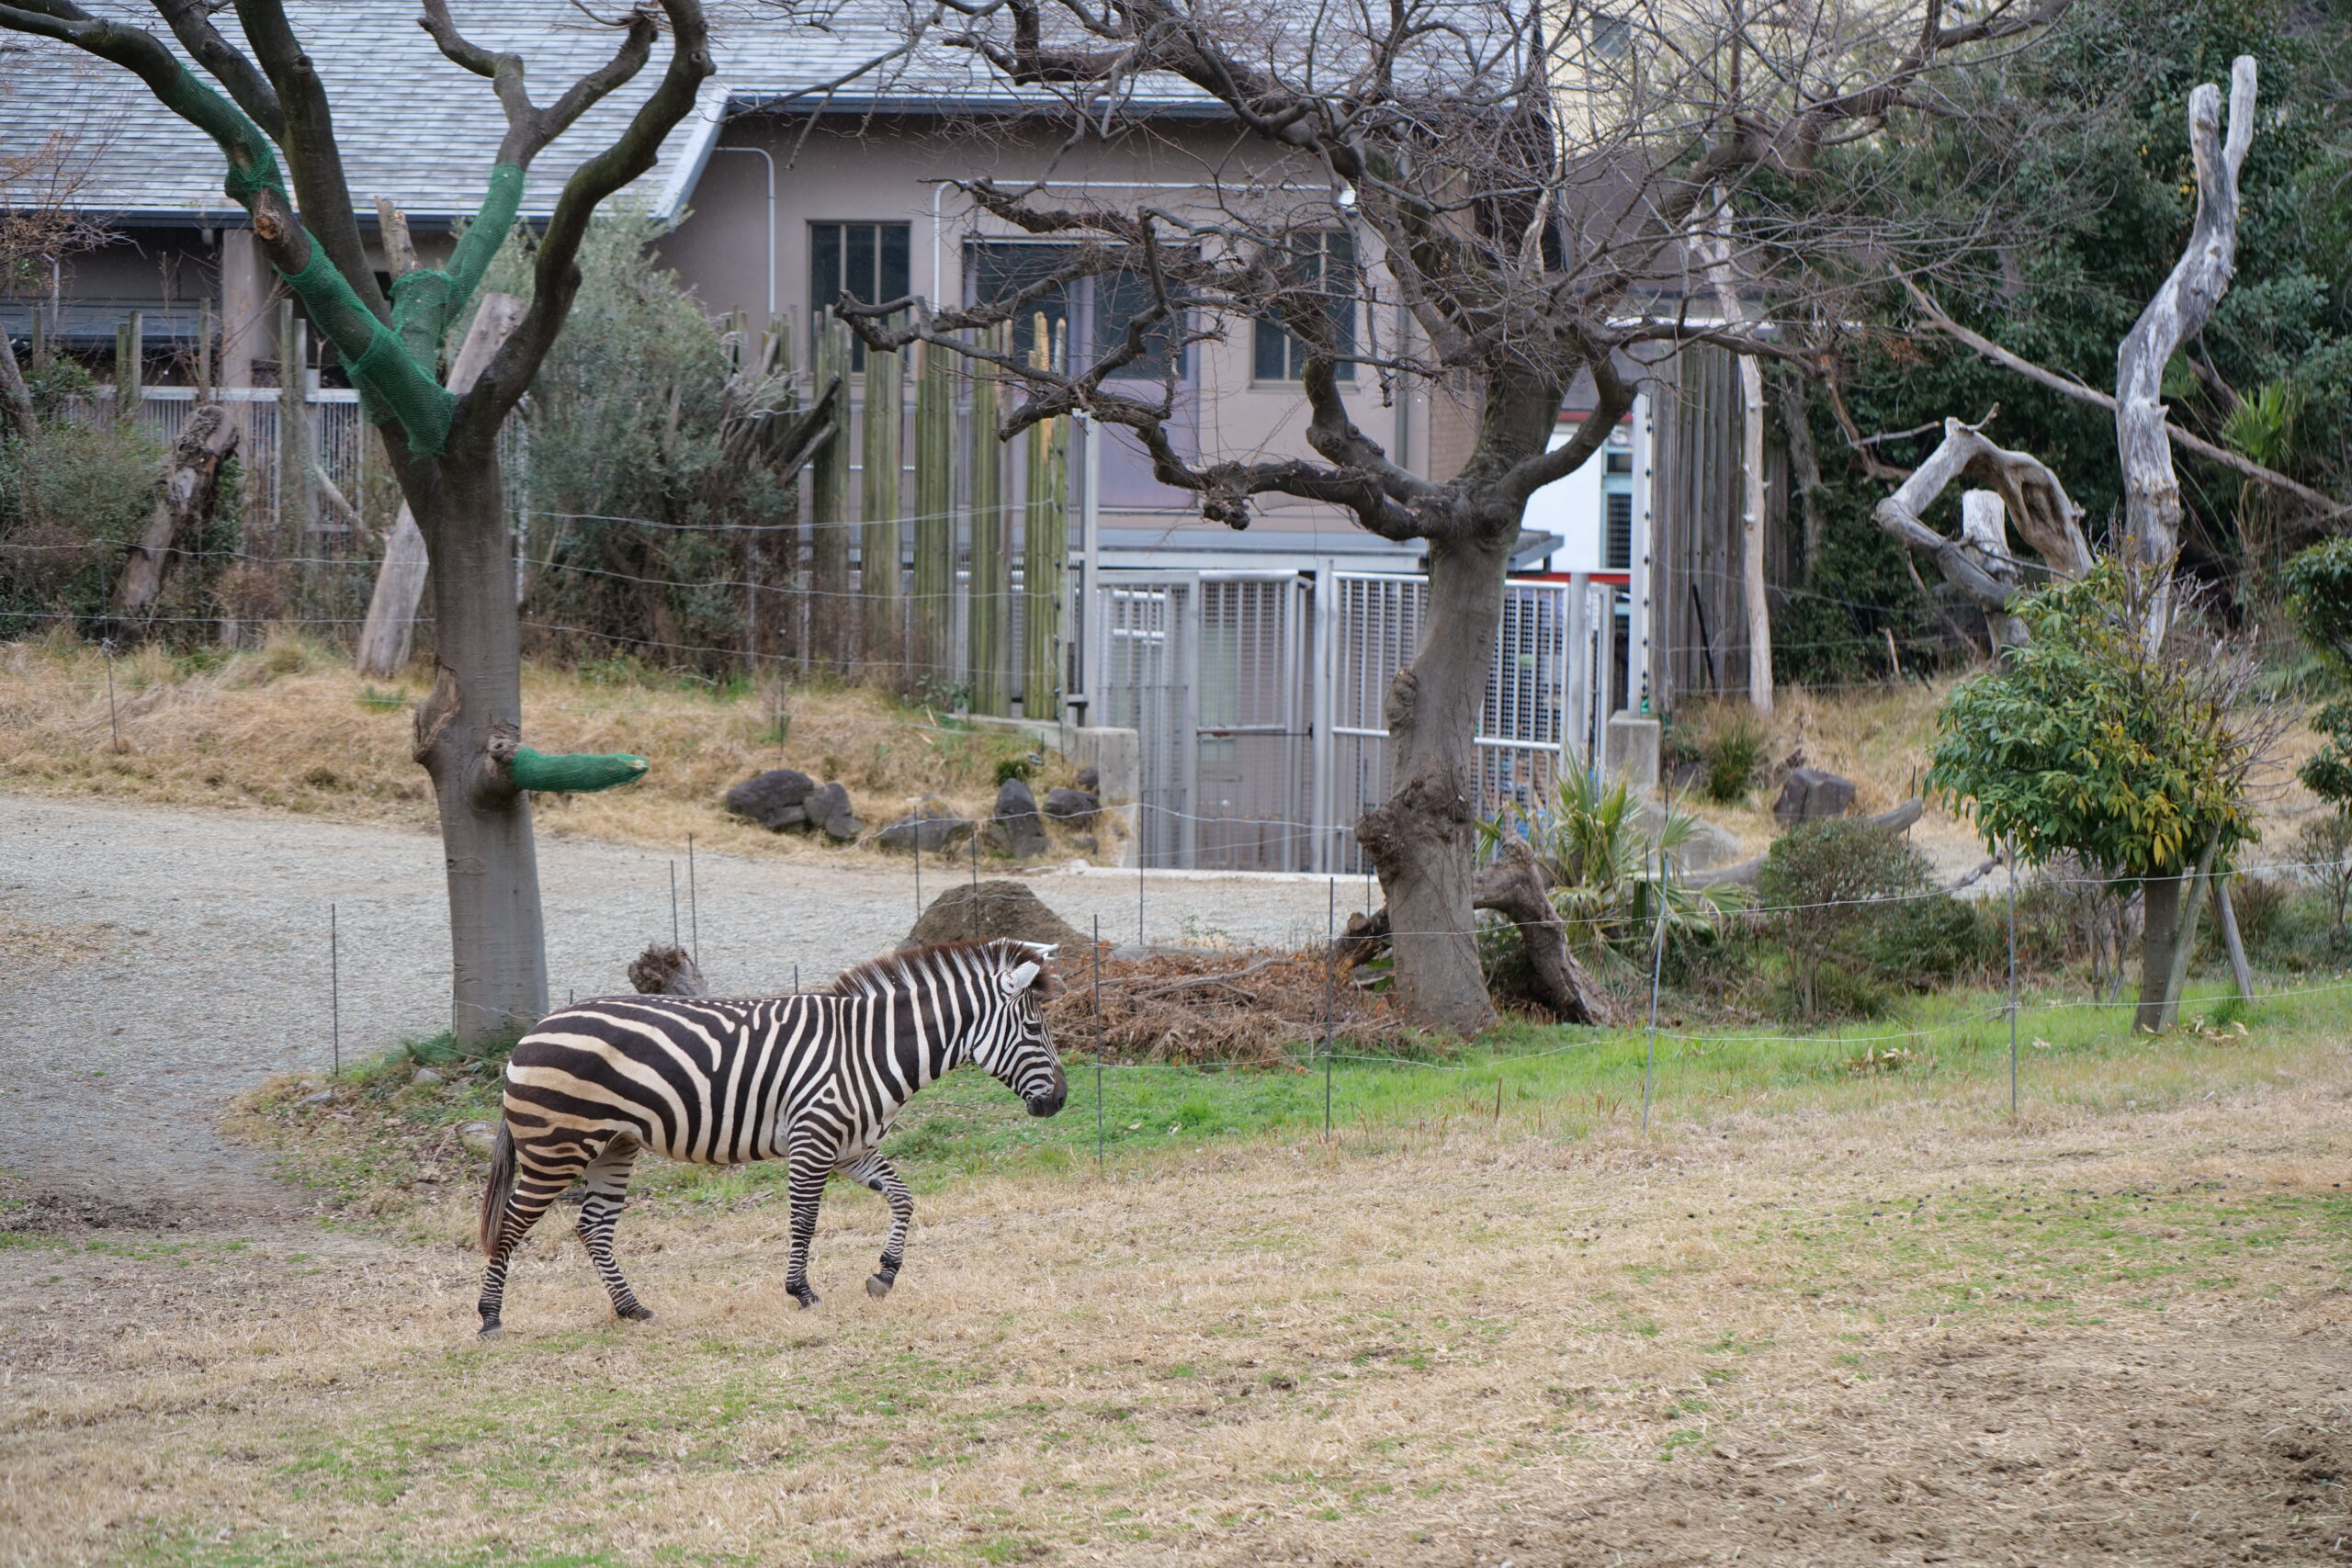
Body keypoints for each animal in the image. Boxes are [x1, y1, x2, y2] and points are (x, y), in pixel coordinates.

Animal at [477, 940, 1068, 1344]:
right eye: (1034, 1031)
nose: (1060, 1101)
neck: (869, 1049)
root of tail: (534, 1029)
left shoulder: (852, 1147)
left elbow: (903, 1198)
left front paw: (884, 1274)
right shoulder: (814, 1138)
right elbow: (804, 1219)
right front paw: (802, 1292)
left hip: (614, 1145)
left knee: (594, 1227)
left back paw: (633, 1309)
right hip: (557, 1148)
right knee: (510, 1225)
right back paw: (489, 1319)